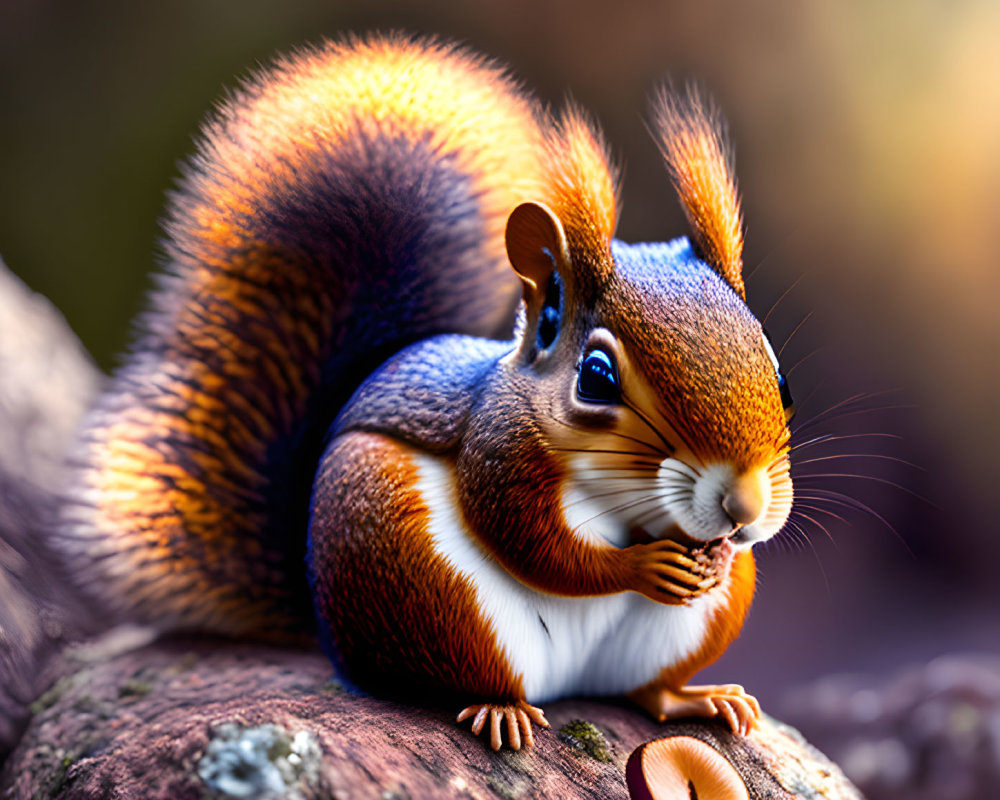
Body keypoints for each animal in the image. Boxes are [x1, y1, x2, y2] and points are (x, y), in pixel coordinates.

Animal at [58, 34, 796, 752]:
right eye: (595, 377)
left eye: (782, 378)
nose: (743, 508)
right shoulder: (498, 450)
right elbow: (535, 546)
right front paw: (643, 565)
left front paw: (718, 552)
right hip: (414, 570)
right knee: (463, 674)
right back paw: (501, 711)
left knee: (644, 691)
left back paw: (698, 697)